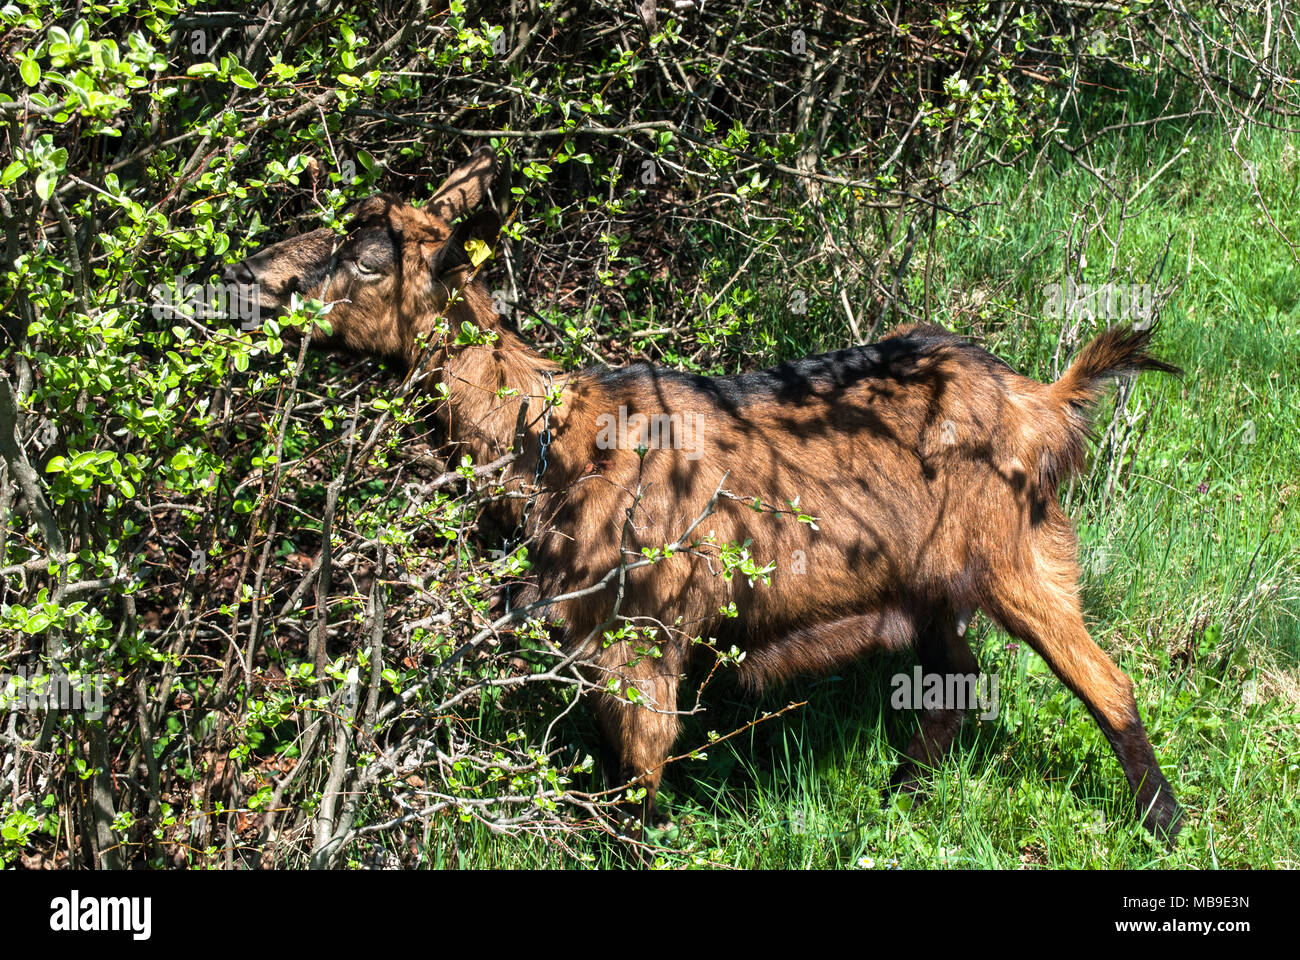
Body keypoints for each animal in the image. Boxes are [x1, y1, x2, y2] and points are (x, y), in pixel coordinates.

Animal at [222, 146, 1184, 843]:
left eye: (367, 258)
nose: (250, 275)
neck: (555, 435)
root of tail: (1039, 400)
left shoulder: (642, 638)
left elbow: (636, 788)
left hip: (1020, 557)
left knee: (1108, 682)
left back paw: (1162, 825)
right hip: (928, 586)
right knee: (955, 685)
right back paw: (896, 799)